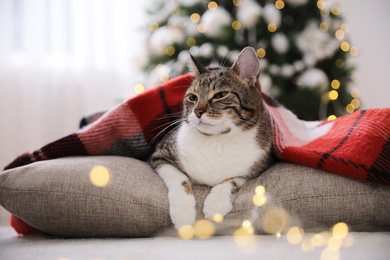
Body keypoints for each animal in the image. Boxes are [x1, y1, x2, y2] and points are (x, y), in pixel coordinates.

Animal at [151, 46, 272, 230]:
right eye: (192, 97)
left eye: (220, 95)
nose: (197, 111)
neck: (217, 140)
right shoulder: (160, 154)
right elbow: (179, 178)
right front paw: (183, 213)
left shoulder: (260, 164)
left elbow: (232, 180)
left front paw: (216, 203)